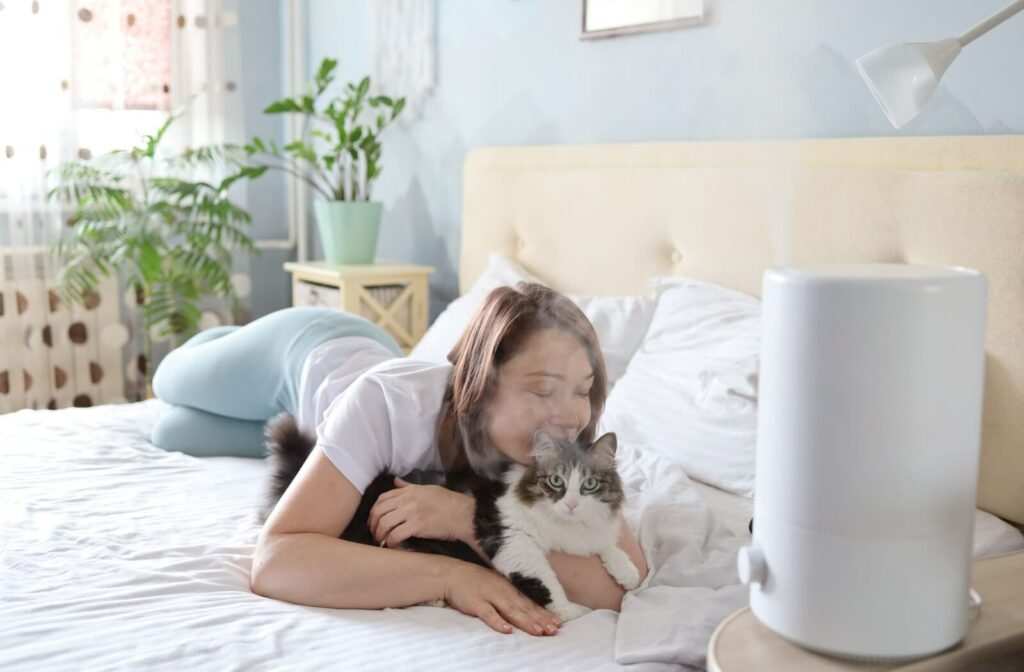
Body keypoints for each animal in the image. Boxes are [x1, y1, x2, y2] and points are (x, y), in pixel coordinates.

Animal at [260, 417, 634, 622]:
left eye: (589, 485)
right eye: (556, 481)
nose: (571, 504)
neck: (568, 529)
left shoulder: (590, 535)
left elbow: (608, 547)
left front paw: (627, 573)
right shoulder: (510, 538)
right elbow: (546, 582)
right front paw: (571, 611)